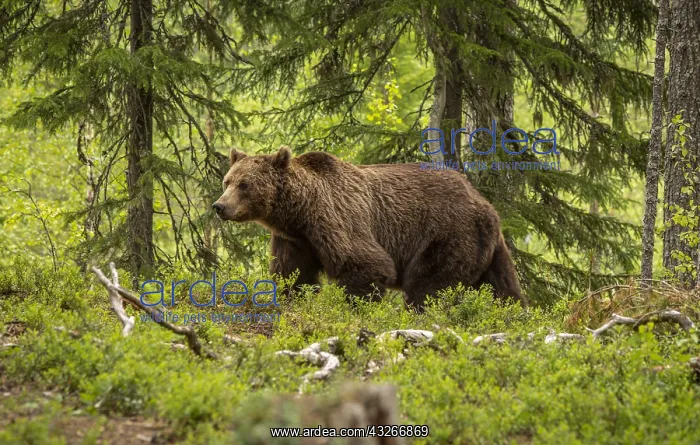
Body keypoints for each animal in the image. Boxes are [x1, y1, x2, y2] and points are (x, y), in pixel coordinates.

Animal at [212, 145, 526, 310]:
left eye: (244, 184)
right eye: (227, 181)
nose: (219, 206)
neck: (299, 212)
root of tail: (486, 206)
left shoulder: (336, 219)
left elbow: (366, 264)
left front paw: (357, 308)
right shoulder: (296, 240)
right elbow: (293, 274)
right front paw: (291, 298)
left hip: (447, 234)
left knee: (428, 284)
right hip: (487, 249)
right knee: (504, 288)